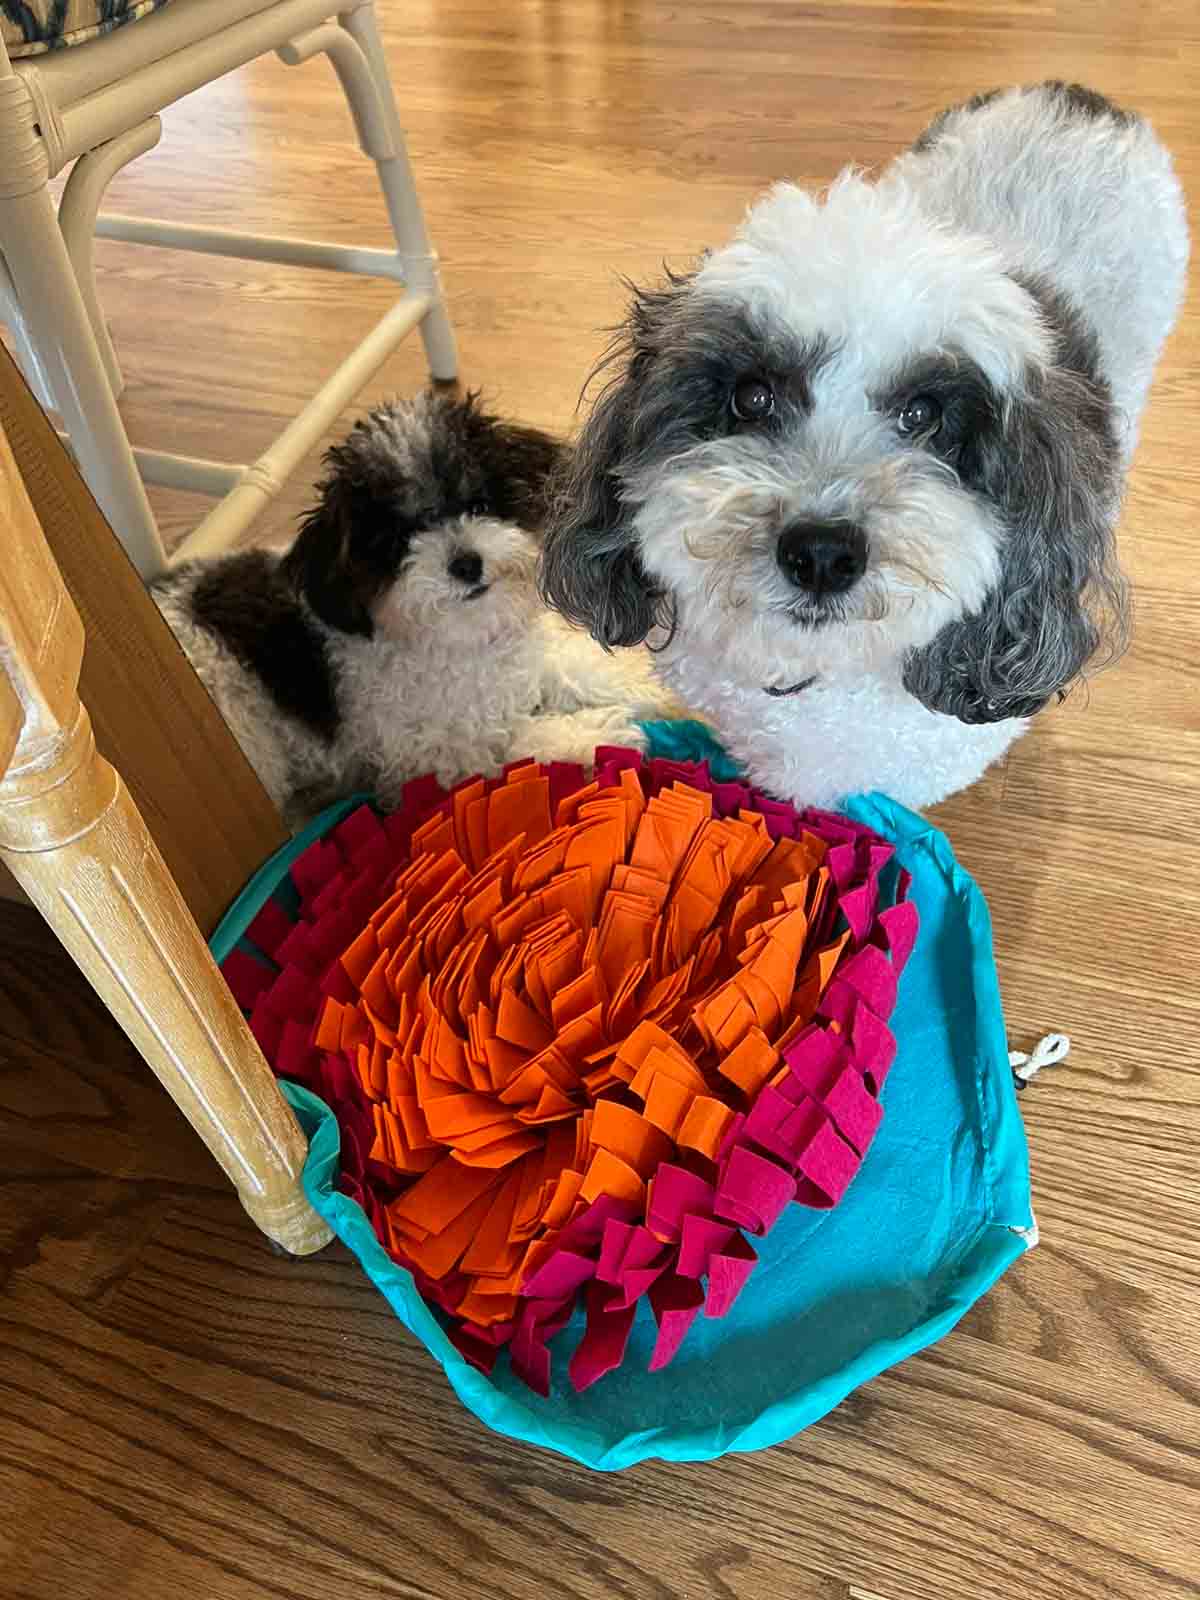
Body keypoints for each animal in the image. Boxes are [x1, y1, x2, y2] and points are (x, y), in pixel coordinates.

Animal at [155, 393, 678, 832]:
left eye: (478, 504)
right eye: (399, 540)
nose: (465, 563)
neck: (453, 641)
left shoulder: (522, 670)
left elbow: (580, 669)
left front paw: (658, 693)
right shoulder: (423, 757)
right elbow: (503, 745)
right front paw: (592, 736)